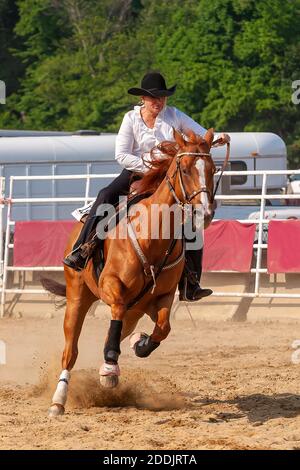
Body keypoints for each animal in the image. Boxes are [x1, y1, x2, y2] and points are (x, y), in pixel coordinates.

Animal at [44, 127, 217, 414]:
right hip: (77, 297)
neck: (152, 237)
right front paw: (110, 368)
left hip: (135, 311)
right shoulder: (112, 286)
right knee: (71, 351)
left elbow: (162, 328)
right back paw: (59, 399)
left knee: (117, 331)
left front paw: (139, 344)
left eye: (213, 169)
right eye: (184, 169)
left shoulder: (163, 297)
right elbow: (116, 310)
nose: (204, 212)